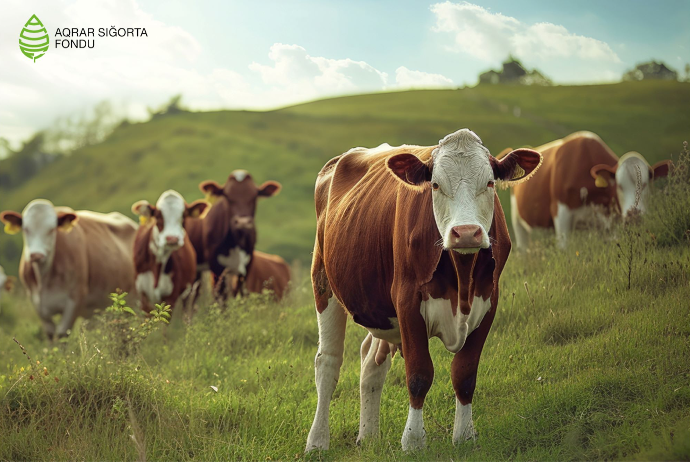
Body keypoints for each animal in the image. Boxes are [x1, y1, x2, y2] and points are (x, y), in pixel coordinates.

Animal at [0, 199, 137, 340]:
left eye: (52, 229)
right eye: (26, 229)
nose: (36, 255)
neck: (44, 279)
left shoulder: (74, 298)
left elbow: (62, 334)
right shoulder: (35, 301)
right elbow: (50, 334)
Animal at [304, 127, 540, 452]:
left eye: (490, 183)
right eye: (436, 185)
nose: (466, 233)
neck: (462, 279)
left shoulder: (489, 301)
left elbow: (465, 373)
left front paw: (464, 436)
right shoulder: (407, 303)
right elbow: (419, 373)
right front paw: (414, 440)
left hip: (380, 309)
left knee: (371, 362)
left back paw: (368, 436)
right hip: (323, 282)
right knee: (328, 362)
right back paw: (317, 442)